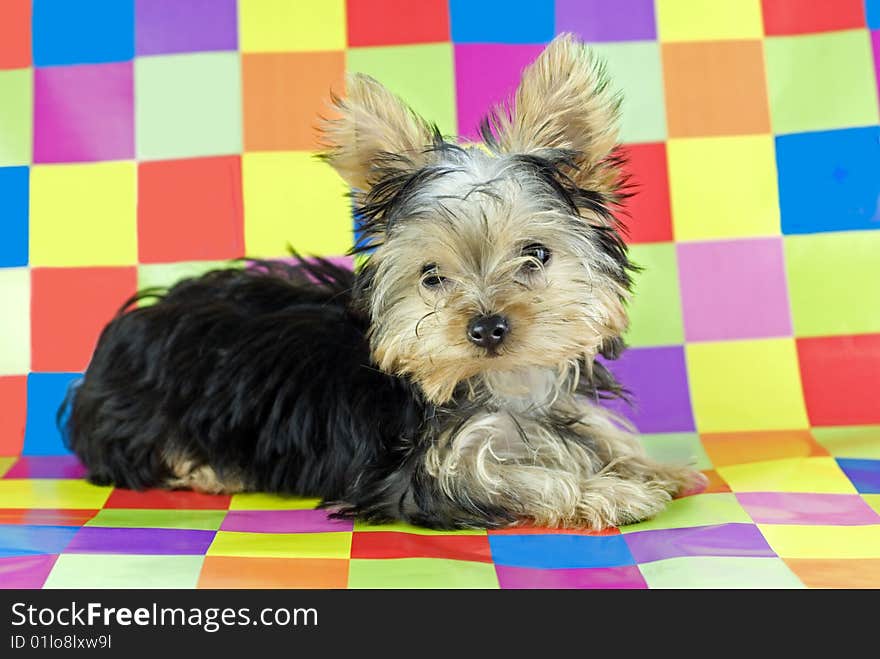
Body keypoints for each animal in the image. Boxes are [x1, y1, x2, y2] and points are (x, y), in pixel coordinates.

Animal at [63, 34, 700, 532]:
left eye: (535, 255)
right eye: (432, 277)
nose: (487, 328)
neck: (499, 383)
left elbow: (595, 431)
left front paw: (649, 465)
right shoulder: (416, 476)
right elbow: (506, 476)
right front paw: (609, 490)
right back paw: (208, 470)